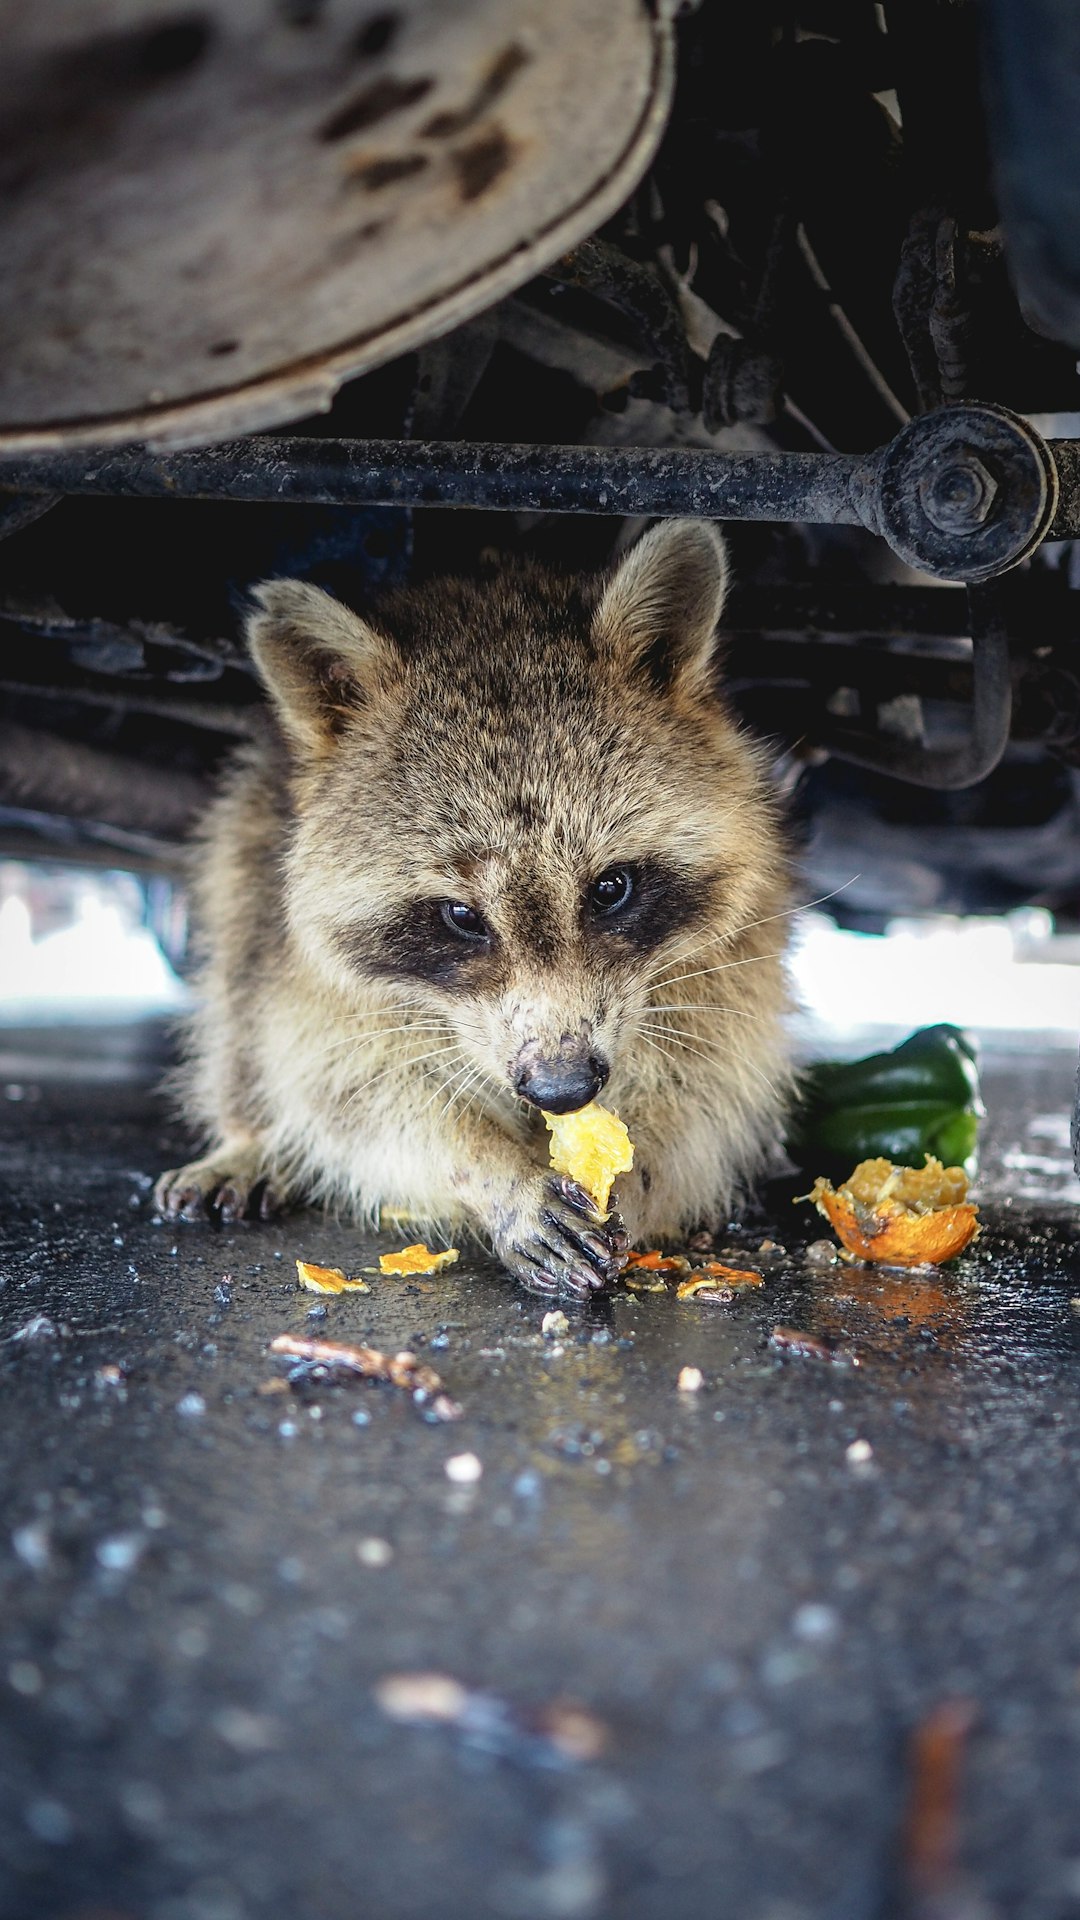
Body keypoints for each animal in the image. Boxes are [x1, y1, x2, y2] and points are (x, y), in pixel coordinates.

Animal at [157, 526, 791, 1297]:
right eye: (461, 916)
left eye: (611, 887)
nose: (561, 1087)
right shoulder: (313, 974)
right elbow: (354, 1093)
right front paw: (493, 1170)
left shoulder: (733, 955)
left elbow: (708, 1085)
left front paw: (638, 1170)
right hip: (249, 843)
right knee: (240, 1000)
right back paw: (252, 1138)